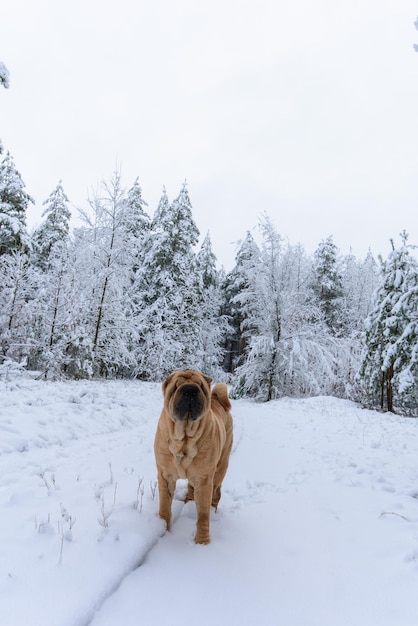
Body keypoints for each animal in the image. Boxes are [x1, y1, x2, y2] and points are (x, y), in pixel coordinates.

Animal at [154, 370, 233, 540]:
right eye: (176, 386)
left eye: (200, 386)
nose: (190, 389)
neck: (184, 438)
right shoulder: (165, 475)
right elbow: (165, 506)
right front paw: (163, 530)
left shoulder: (204, 478)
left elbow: (203, 514)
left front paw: (202, 542)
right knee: (191, 488)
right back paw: (189, 502)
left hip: (221, 467)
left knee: (216, 493)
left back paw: (213, 511)